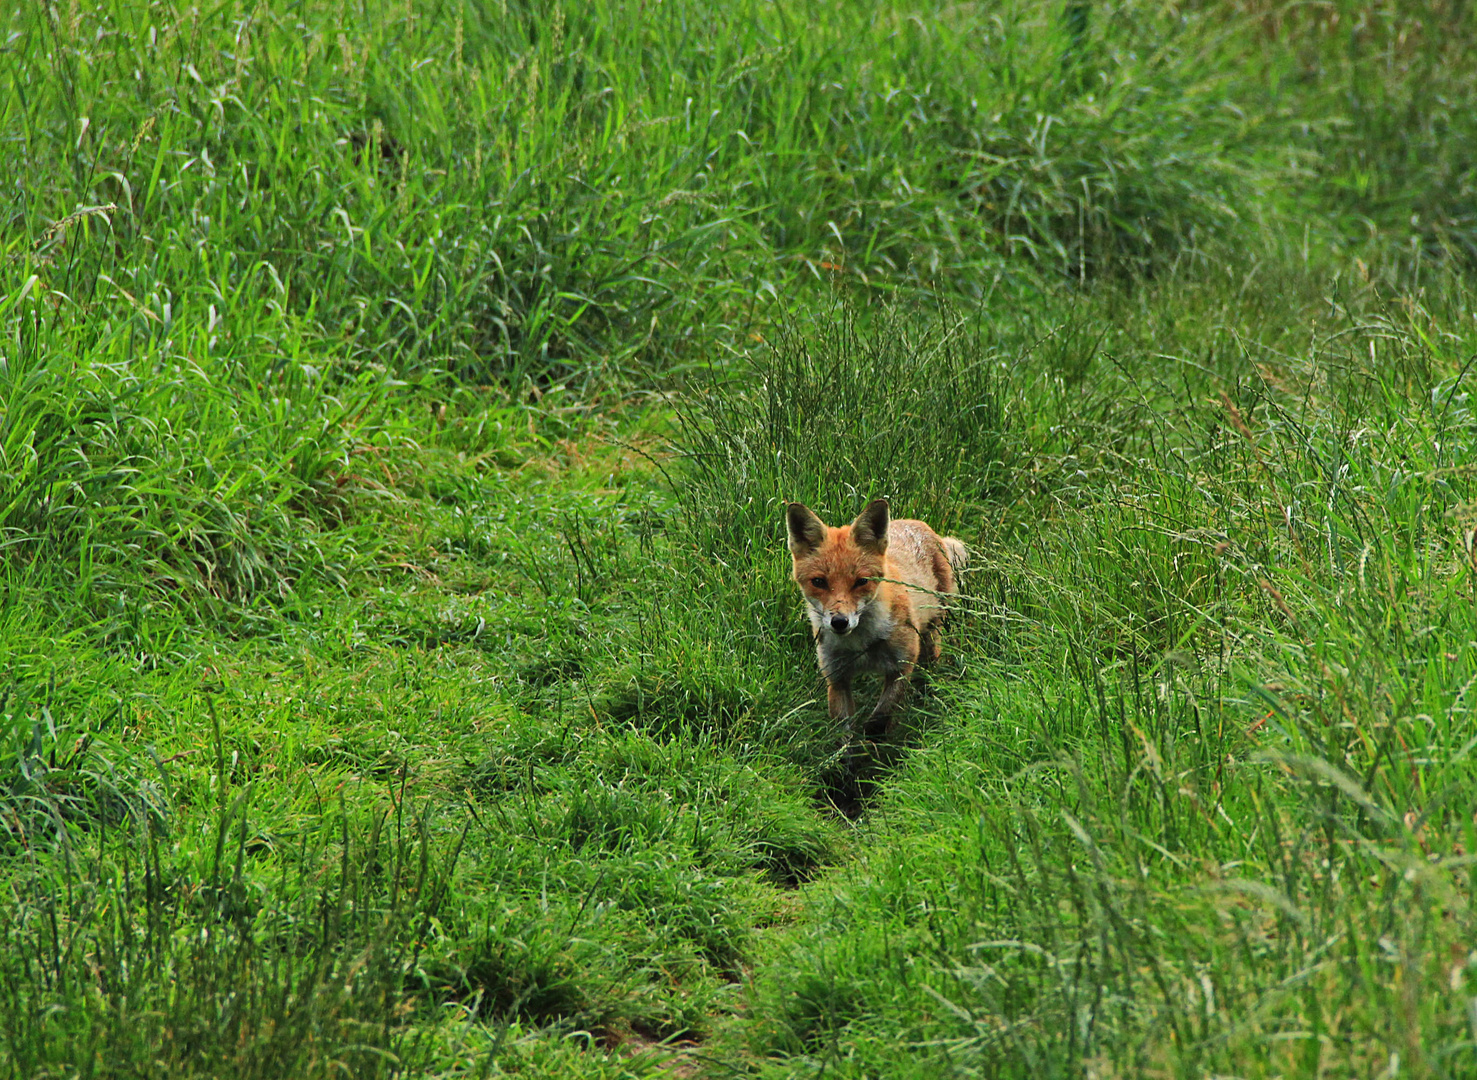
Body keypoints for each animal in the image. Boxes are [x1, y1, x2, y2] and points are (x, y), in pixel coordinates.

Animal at [785, 499, 968, 738]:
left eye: (861, 581)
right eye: (819, 582)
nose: (840, 622)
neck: (861, 645)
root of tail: (917, 522)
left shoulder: (901, 665)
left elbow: (879, 719)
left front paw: (873, 742)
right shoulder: (836, 676)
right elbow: (843, 733)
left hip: (931, 633)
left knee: (931, 663)